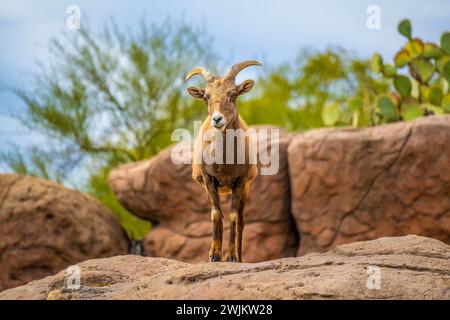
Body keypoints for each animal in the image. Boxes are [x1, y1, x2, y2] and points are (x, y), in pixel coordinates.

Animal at [185, 60, 262, 262]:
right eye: (206, 97)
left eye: (233, 94)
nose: (217, 119)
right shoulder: (209, 181)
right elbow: (216, 215)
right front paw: (214, 255)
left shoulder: (240, 182)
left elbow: (233, 217)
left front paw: (232, 257)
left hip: (246, 190)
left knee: (241, 221)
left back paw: (240, 258)